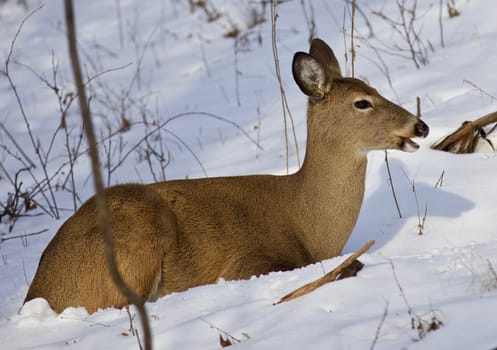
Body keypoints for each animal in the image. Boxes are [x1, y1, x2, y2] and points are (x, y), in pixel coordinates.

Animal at [24, 37, 426, 314]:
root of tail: (38, 290)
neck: (310, 225)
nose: (419, 125)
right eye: (362, 102)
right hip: (135, 237)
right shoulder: (247, 263)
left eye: (374, 90)